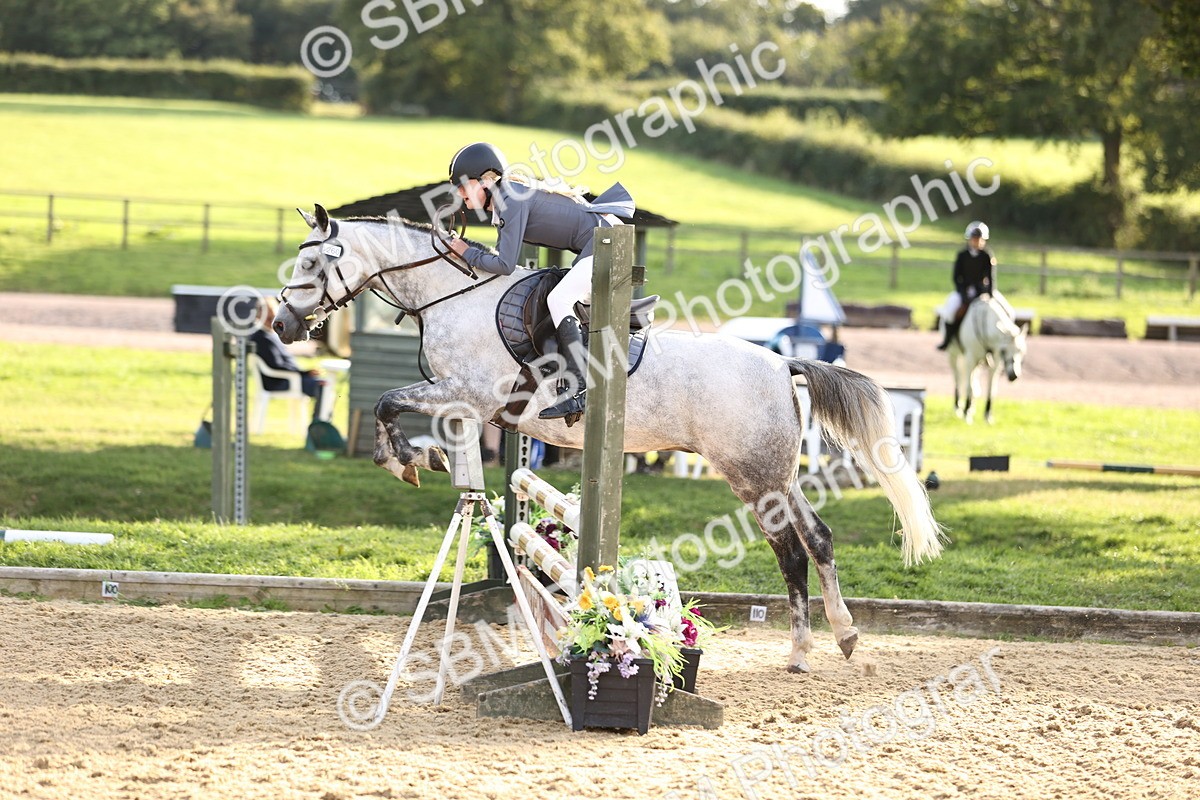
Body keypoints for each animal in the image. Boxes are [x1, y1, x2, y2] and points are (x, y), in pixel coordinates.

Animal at [272, 205, 945, 674]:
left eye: (312, 265)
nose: (281, 323)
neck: (452, 296)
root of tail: (783, 363)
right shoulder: (465, 402)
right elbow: (410, 420)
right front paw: (428, 457)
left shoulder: (465, 393)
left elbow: (389, 402)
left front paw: (408, 460)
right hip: (775, 474)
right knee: (815, 539)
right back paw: (836, 638)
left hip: (754, 476)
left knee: (793, 550)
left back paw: (813, 647)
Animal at [945, 295, 1028, 424]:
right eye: (1004, 350)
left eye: (1021, 351)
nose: (1013, 375)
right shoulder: (970, 359)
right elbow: (969, 386)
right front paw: (966, 413)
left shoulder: (995, 363)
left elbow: (991, 389)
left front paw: (987, 415)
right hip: (953, 354)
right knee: (957, 378)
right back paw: (959, 407)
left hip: (977, 363)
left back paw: (971, 407)